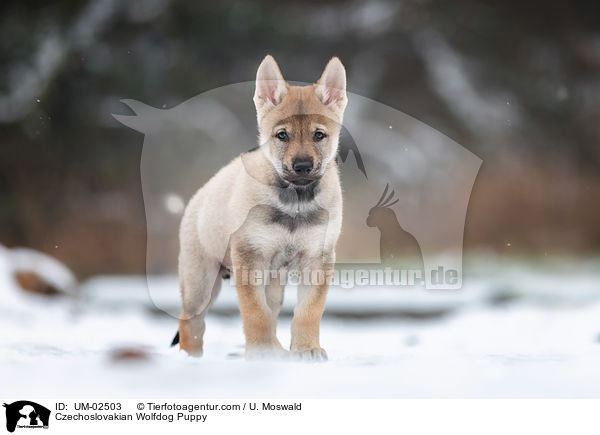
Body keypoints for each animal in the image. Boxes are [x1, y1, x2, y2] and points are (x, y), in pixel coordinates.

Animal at [173, 54, 346, 362]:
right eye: (282, 135)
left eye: (318, 135)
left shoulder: (318, 259)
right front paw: (261, 351)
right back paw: (191, 360)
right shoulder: (249, 257)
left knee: (272, 311)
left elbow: (308, 311)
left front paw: (307, 349)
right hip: (200, 281)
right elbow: (255, 312)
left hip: (273, 280)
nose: (303, 166)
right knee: (191, 322)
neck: (294, 203)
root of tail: (198, 196)